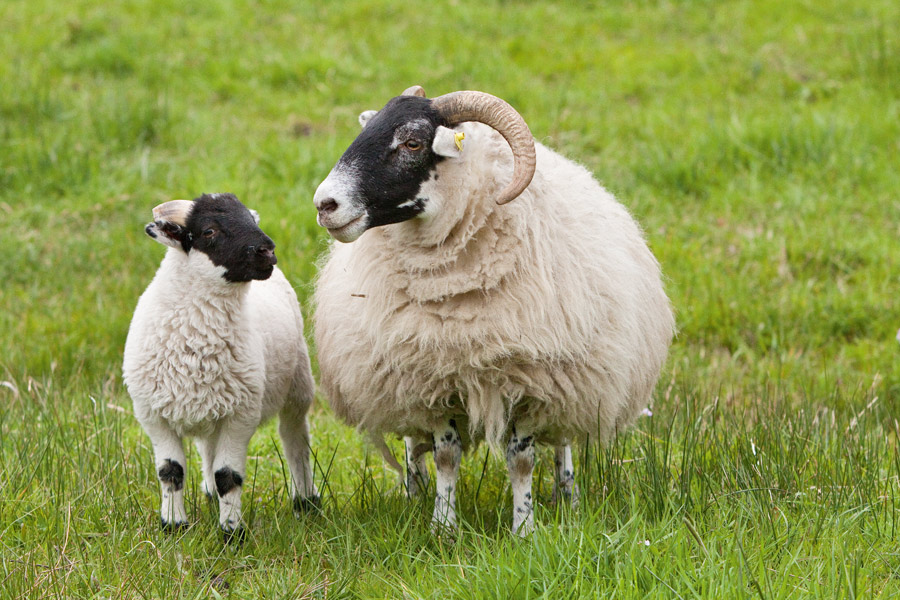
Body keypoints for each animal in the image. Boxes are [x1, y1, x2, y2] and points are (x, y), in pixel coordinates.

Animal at [123, 193, 320, 540]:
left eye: (251, 220)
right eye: (209, 231)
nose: (268, 251)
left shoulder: (241, 416)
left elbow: (229, 476)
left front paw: (232, 533)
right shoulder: (153, 416)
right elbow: (170, 472)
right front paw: (173, 526)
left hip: (297, 385)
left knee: (295, 442)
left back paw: (305, 499)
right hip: (210, 404)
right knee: (207, 447)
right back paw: (208, 493)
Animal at [312, 84, 672, 536]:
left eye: (412, 143)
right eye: (368, 128)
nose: (324, 204)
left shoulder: (531, 382)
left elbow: (522, 460)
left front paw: (524, 528)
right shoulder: (432, 378)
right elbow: (446, 456)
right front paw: (443, 527)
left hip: (577, 375)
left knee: (564, 441)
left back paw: (568, 497)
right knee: (413, 442)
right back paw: (414, 492)